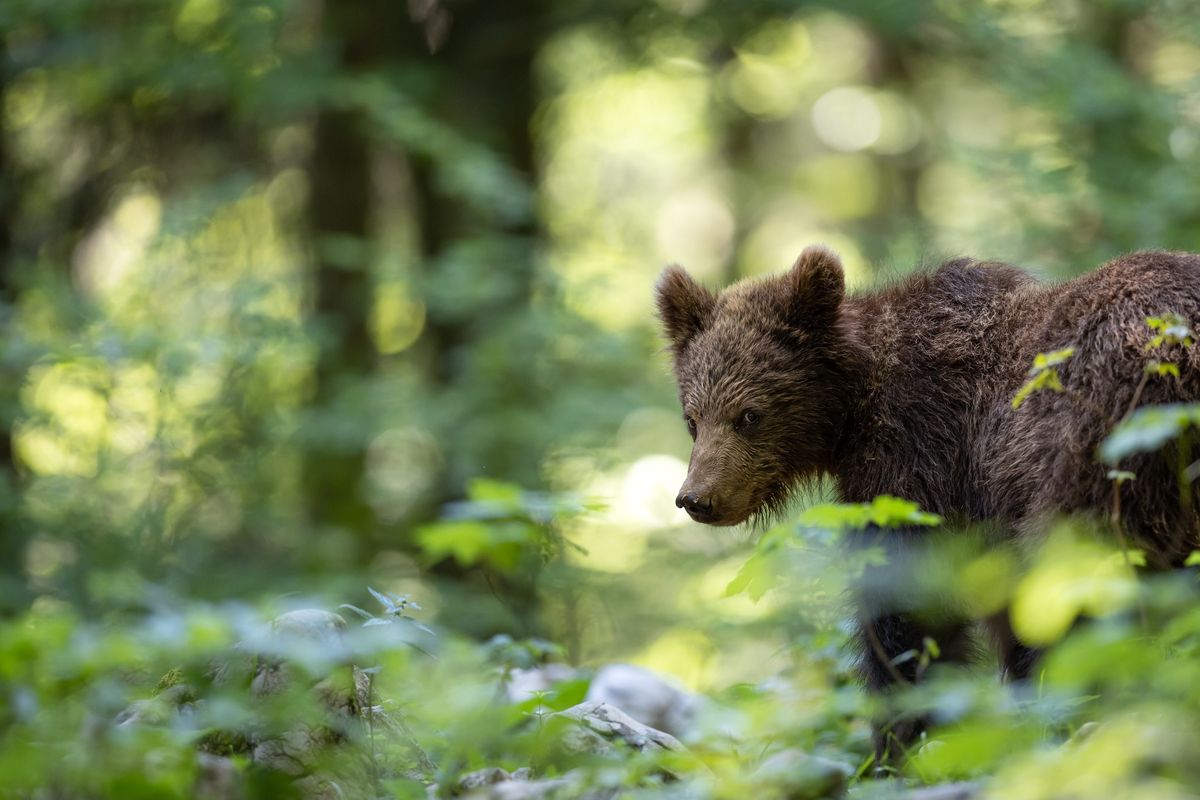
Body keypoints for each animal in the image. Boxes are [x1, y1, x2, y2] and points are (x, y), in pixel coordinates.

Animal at [652, 247, 1200, 762]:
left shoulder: (919, 459)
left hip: (1105, 435)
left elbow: (909, 606)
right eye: (693, 418)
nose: (696, 498)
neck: (851, 411)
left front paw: (899, 742)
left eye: (749, 414)